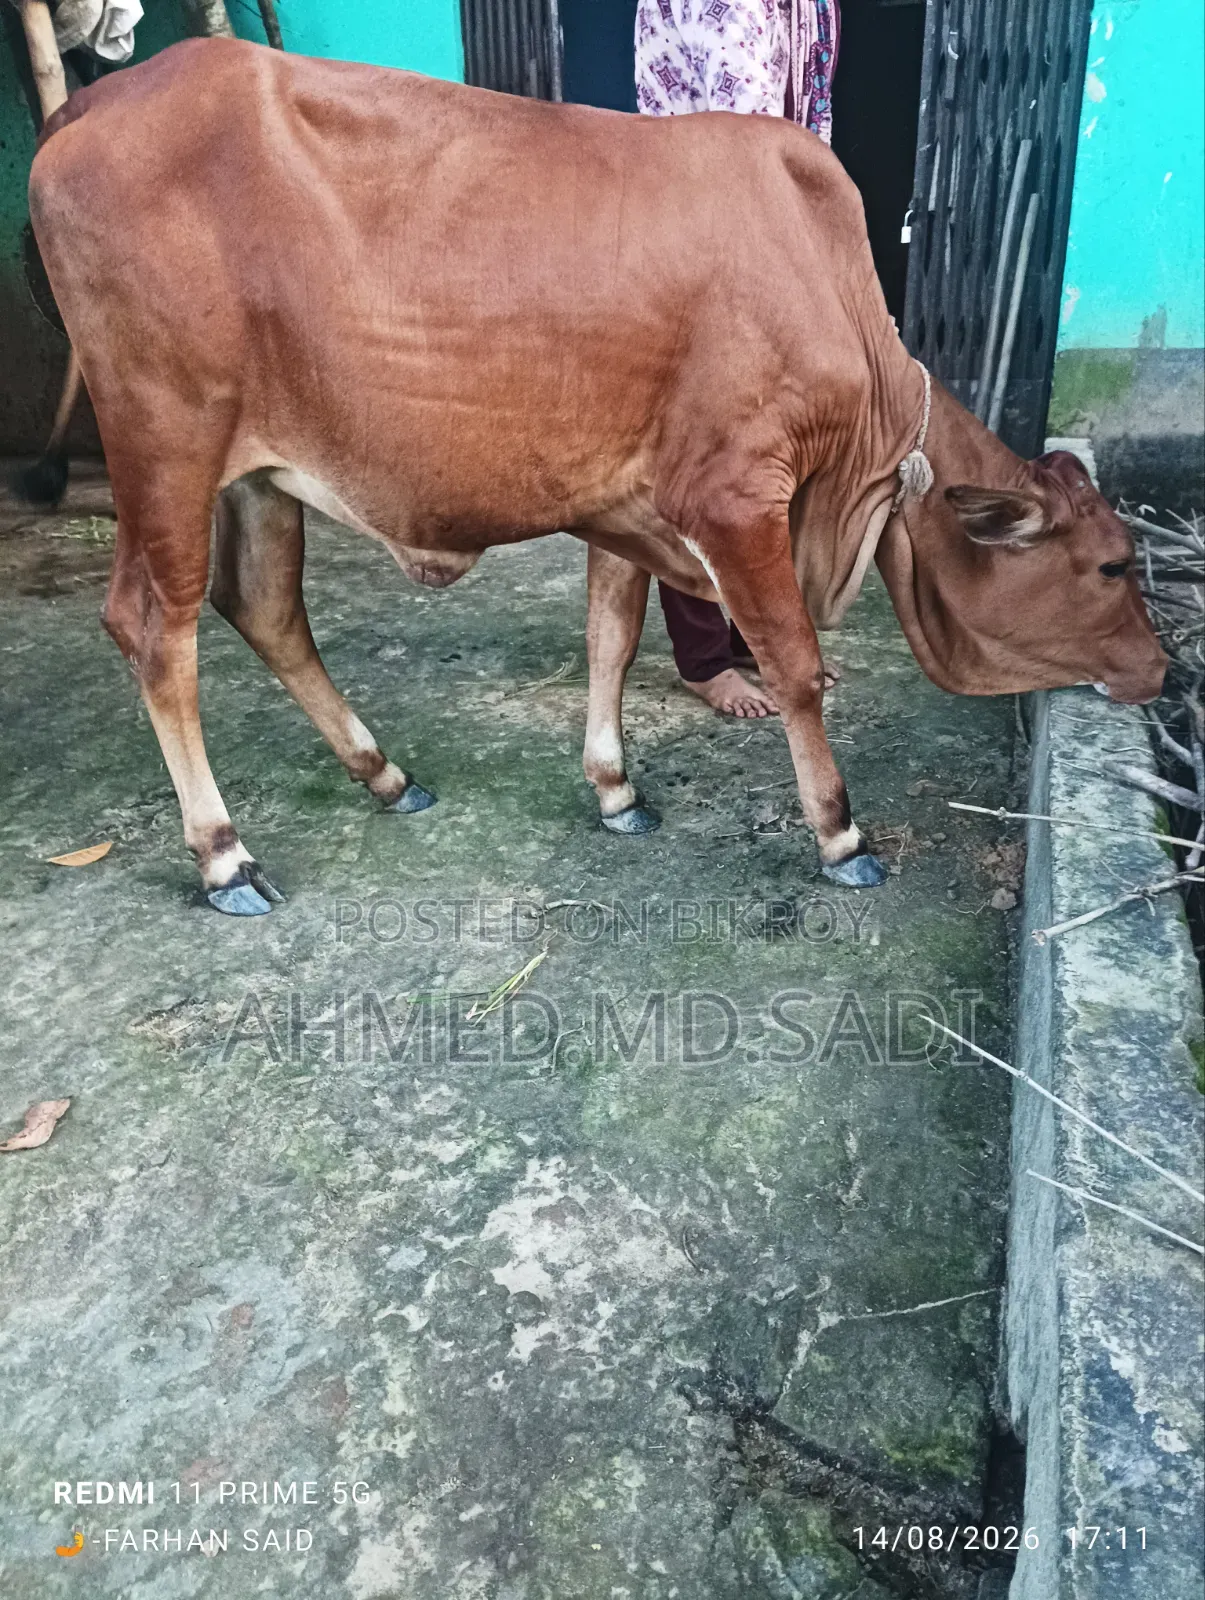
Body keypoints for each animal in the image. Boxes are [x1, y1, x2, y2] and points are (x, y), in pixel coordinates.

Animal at [28, 39, 1166, 915]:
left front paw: (615, 789)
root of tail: (95, 99)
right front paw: (839, 836)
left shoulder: (628, 506)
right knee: (155, 627)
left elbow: (609, 640)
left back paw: (383, 774)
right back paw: (225, 854)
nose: (1161, 672)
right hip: (166, 443)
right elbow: (795, 665)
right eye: (1112, 563)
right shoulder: (731, 494)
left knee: (262, 608)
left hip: (257, 475)